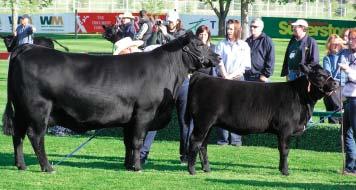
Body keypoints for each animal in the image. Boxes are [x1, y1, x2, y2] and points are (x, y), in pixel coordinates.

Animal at [2, 31, 220, 172]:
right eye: (199, 45)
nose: (217, 57)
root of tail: (27, 47)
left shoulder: (130, 118)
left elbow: (128, 142)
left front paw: (128, 165)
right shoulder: (144, 113)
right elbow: (137, 140)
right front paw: (137, 168)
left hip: (21, 110)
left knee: (18, 135)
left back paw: (21, 165)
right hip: (38, 109)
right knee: (35, 136)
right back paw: (47, 167)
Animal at [186, 64, 340, 175]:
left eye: (328, 73)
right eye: (320, 75)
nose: (336, 83)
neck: (301, 98)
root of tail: (202, 76)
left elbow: (282, 150)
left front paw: (281, 169)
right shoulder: (286, 129)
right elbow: (285, 150)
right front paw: (285, 171)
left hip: (209, 124)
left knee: (203, 145)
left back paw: (207, 169)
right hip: (203, 121)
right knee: (195, 141)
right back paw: (192, 170)